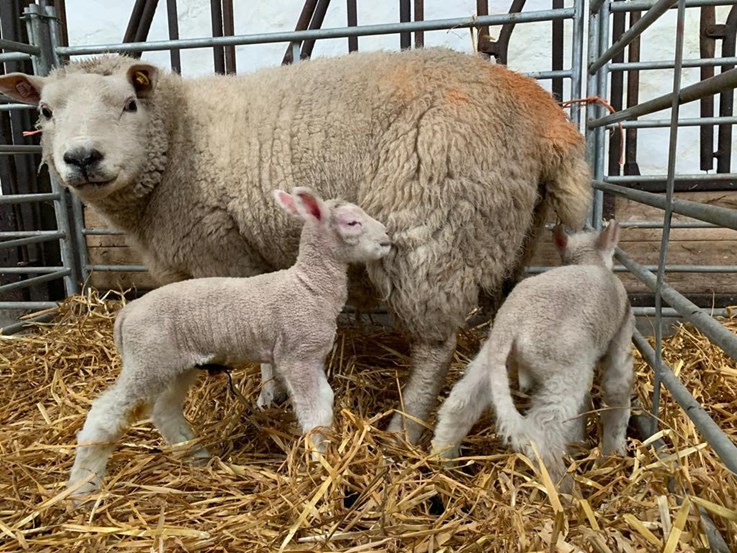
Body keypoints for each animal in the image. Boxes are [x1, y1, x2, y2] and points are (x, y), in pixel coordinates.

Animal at [0, 47, 592, 443]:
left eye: (128, 104)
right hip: (508, 234)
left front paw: (268, 392)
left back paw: (405, 429)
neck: (178, 138)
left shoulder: (223, 248)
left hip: (432, 231)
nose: (81, 157)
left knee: (434, 344)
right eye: (45, 112)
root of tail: (548, 120)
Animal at [66, 187, 392, 498]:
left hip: (175, 364)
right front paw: (321, 461)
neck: (308, 286)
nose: (387, 240)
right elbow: (317, 409)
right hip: (147, 361)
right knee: (103, 417)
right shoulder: (298, 356)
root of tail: (126, 313)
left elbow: (325, 399)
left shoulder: (311, 357)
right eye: (351, 222)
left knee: (164, 411)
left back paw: (197, 457)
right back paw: (82, 491)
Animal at [431, 222, 634, 488]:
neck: (589, 261)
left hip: (491, 358)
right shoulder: (621, 338)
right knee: (543, 433)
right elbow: (617, 395)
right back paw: (566, 489)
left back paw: (443, 461)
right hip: (565, 369)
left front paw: (578, 443)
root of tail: (513, 322)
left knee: (460, 404)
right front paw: (613, 452)